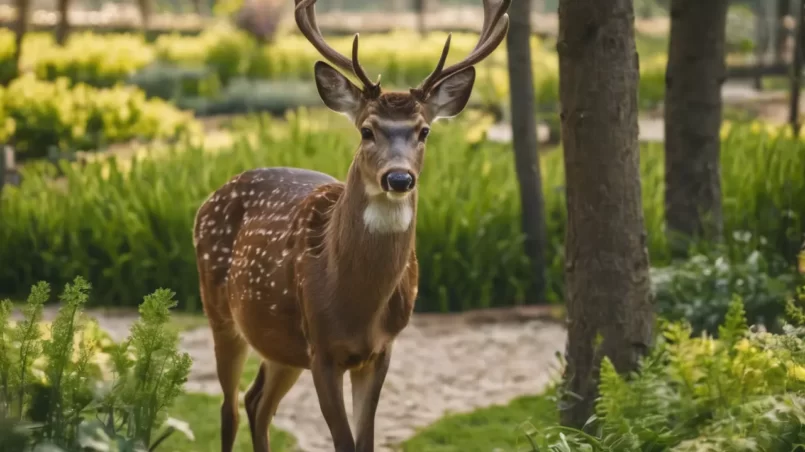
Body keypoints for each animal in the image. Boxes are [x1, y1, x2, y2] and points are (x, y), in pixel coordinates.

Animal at [192, 0, 508, 452]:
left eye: (424, 130)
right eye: (366, 130)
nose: (399, 178)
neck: (357, 305)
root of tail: (208, 200)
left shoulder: (380, 350)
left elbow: (365, 440)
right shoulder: (322, 350)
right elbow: (343, 441)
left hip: (279, 341)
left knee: (257, 403)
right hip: (220, 313)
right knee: (230, 409)